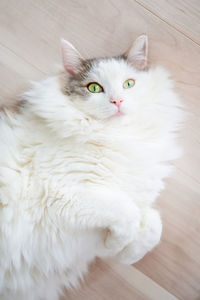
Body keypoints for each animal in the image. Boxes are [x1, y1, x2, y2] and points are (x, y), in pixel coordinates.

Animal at [0, 35, 184, 300]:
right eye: (94, 88)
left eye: (129, 84)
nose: (117, 101)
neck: (116, 139)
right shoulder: (61, 197)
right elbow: (127, 211)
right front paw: (119, 241)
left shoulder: (86, 244)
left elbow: (152, 226)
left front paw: (125, 247)